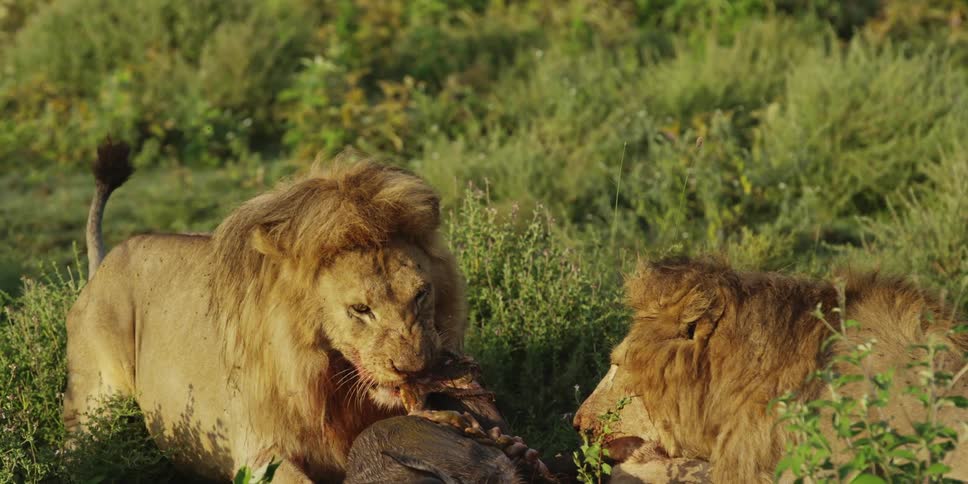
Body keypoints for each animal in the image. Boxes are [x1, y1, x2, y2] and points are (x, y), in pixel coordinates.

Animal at [63, 140, 467, 482]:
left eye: (421, 294)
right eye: (360, 309)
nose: (416, 369)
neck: (327, 379)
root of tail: (104, 263)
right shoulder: (258, 453)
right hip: (97, 401)